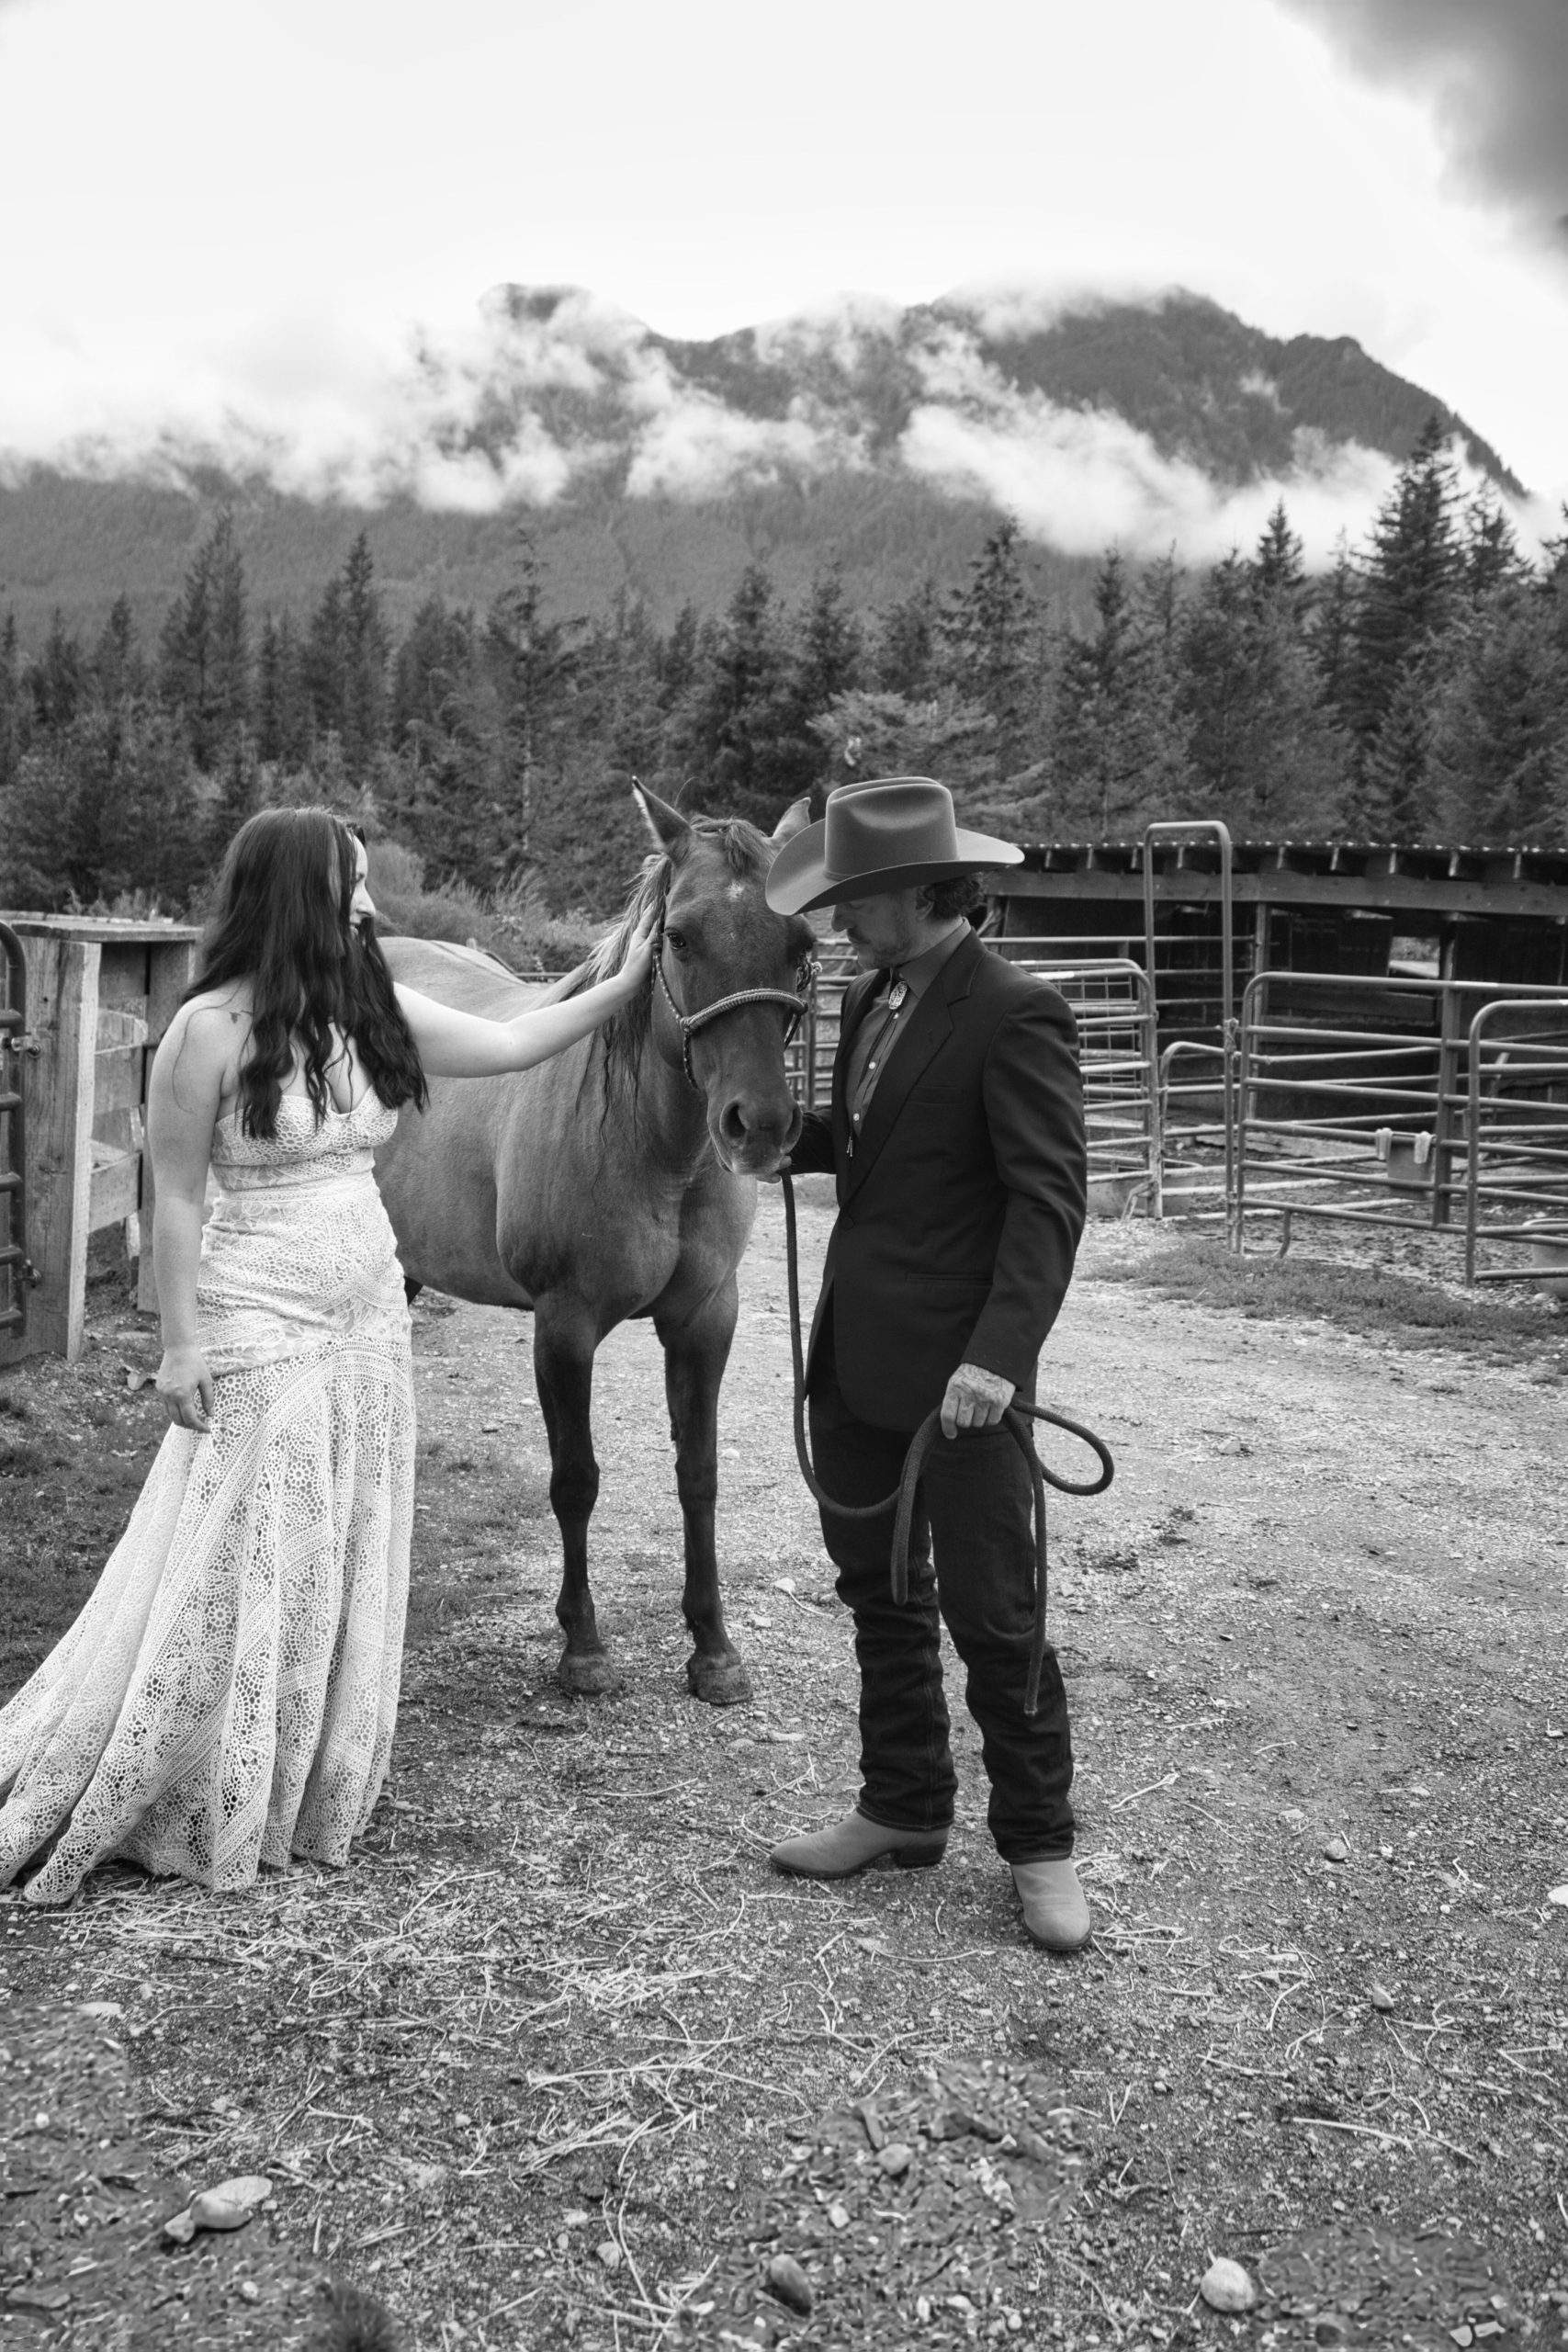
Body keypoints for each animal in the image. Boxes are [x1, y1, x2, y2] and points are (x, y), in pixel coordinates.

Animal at [373, 790, 818, 1712]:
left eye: (801, 944)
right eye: (677, 936)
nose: (757, 1125)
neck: (655, 1150)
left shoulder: (704, 1320)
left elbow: (698, 1476)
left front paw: (713, 1651)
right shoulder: (564, 1327)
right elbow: (574, 1481)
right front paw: (581, 1648)